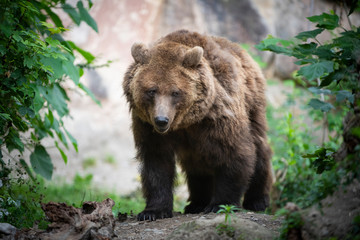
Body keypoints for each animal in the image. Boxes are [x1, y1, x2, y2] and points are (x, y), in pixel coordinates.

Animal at [122, 29, 272, 220]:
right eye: (151, 91)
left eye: (175, 92)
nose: (161, 120)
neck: (184, 123)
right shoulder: (147, 126)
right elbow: (157, 163)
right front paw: (153, 211)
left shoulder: (217, 116)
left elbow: (234, 153)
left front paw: (220, 204)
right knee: (197, 164)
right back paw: (196, 203)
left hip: (252, 103)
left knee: (259, 147)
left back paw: (257, 200)